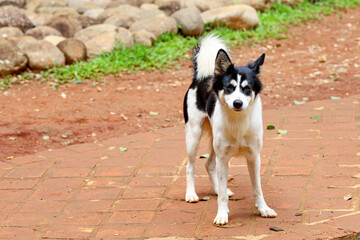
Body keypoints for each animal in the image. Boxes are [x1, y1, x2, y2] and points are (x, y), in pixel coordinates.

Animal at [184, 34, 278, 225]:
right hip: (193, 135)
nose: (237, 103)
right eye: (229, 88)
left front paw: (264, 209)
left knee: (209, 164)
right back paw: (191, 194)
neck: (238, 121)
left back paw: (218, 189)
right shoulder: (223, 158)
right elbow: (222, 195)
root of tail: (199, 78)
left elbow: (257, 188)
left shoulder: (254, 157)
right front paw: (222, 214)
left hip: (214, 143)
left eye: (247, 89)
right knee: (190, 166)